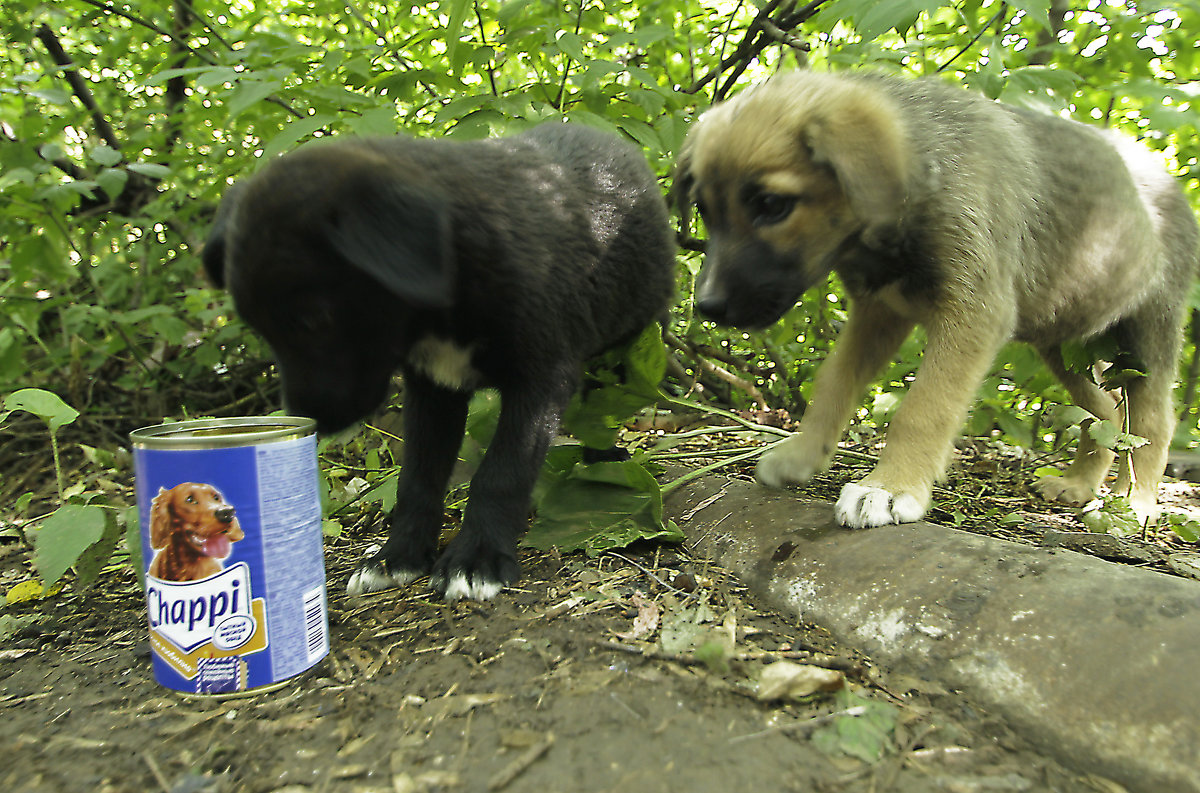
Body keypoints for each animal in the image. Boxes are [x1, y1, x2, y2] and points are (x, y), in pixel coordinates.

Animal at [205, 120, 676, 597]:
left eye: (313, 318)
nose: (308, 421)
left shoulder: (540, 377)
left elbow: (501, 472)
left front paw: (477, 559)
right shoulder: (433, 388)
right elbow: (418, 477)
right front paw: (397, 556)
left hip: (636, 338)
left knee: (608, 407)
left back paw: (605, 458)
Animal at [676, 69, 1200, 525]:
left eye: (771, 205)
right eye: (703, 208)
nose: (707, 307)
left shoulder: (973, 312)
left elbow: (924, 407)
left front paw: (889, 488)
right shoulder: (879, 313)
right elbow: (833, 384)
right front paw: (802, 455)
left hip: (1148, 329)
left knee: (1153, 421)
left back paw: (1133, 504)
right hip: (1063, 340)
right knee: (1107, 411)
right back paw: (1077, 485)